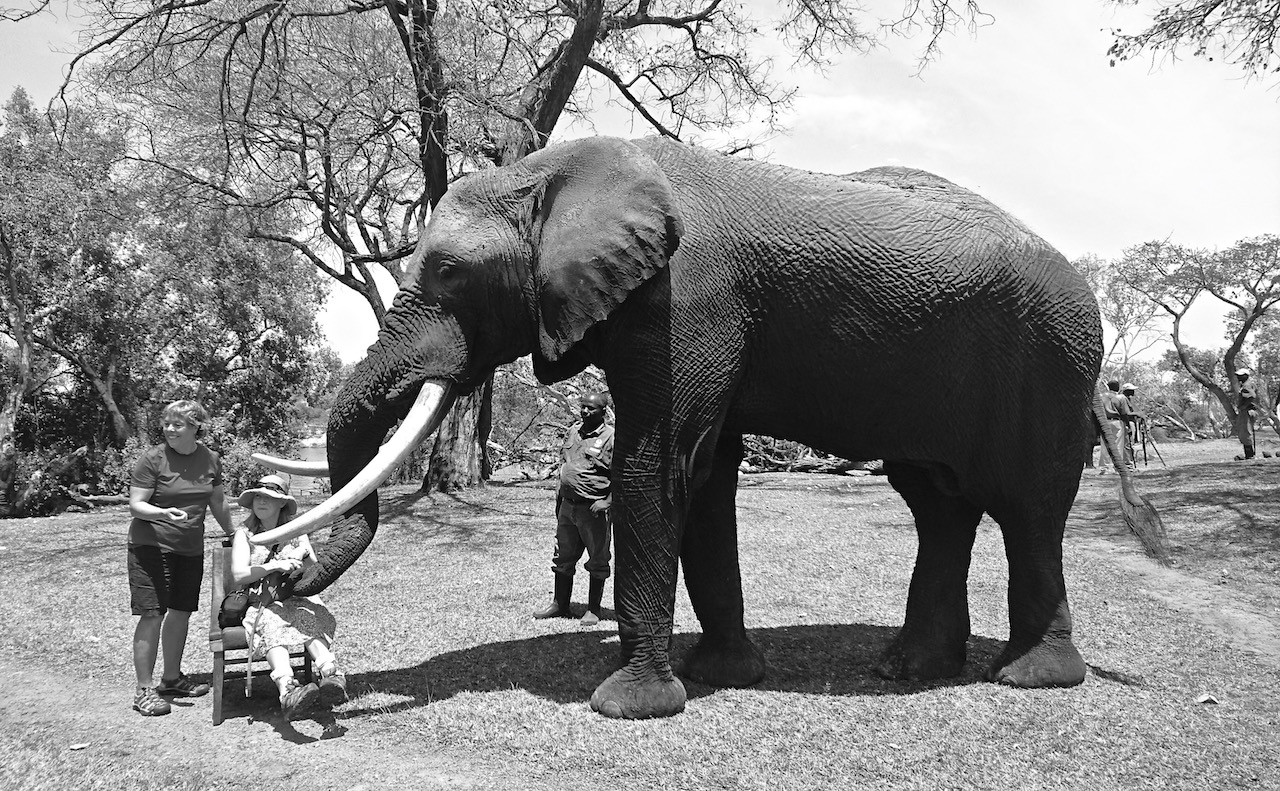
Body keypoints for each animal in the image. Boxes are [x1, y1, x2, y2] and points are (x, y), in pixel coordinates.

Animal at [252, 133, 1172, 716]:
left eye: (447, 272)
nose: (277, 583)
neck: (559, 168)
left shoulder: (685, 299)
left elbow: (659, 467)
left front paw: (629, 703)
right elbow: (706, 476)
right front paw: (718, 672)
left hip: (1048, 367)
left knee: (1028, 511)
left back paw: (1032, 678)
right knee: (938, 504)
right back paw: (907, 667)